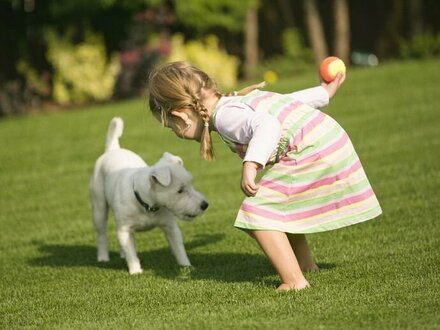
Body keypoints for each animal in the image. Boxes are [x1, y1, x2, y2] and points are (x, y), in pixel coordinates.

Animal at [90, 117, 209, 274]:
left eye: (191, 185)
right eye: (180, 190)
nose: (205, 205)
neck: (147, 205)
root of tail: (113, 149)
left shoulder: (170, 227)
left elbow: (179, 248)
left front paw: (186, 266)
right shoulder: (124, 230)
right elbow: (131, 253)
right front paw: (135, 271)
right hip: (99, 207)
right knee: (101, 233)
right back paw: (103, 257)